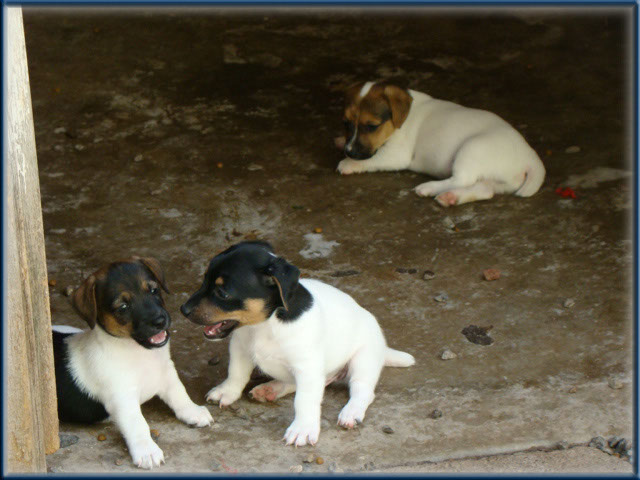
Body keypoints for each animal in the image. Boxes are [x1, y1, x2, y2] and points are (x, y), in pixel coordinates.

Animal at [52, 256, 212, 470]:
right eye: (123, 307)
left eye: (153, 290)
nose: (160, 321)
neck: (140, 354)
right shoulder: (122, 399)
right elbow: (138, 424)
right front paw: (147, 450)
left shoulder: (167, 373)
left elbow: (180, 394)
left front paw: (192, 411)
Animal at [180, 242, 416, 448]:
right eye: (204, 280)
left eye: (222, 293)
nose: (183, 310)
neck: (265, 325)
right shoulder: (240, 349)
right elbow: (236, 374)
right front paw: (227, 392)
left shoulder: (307, 368)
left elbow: (305, 400)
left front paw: (303, 428)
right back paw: (270, 389)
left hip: (363, 359)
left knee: (362, 390)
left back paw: (352, 412)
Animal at [336, 80, 544, 206]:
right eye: (345, 123)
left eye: (371, 126)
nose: (349, 151)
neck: (401, 119)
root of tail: (530, 157)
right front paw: (340, 141)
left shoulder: (397, 155)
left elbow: (372, 159)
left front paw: (348, 163)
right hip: (497, 181)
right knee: (484, 190)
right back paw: (451, 197)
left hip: (472, 148)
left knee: (462, 179)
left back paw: (428, 187)